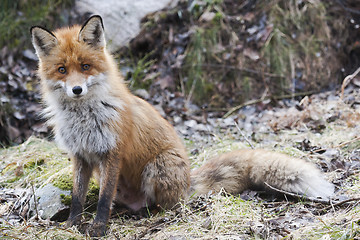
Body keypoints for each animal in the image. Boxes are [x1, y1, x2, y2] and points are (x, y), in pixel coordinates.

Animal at [31, 15, 334, 237]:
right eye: (62, 70)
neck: (84, 118)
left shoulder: (112, 153)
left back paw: (153, 214)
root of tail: (188, 181)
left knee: (166, 205)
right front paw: (72, 225)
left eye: (85, 66)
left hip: (158, 166)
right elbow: (77, 197)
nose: (77, 90)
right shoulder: (80, 155)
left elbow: (104, 199)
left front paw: (98, 227)